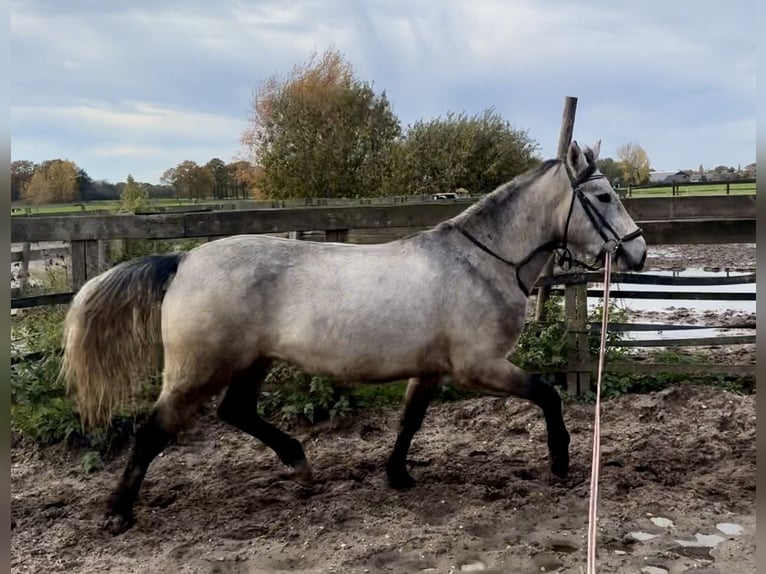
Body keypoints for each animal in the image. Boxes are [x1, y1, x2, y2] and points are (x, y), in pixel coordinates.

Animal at [59, 140, 647, 535]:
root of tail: (182, 260)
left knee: (237, 412)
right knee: (154, 430)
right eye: (602, 195)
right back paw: (117, 512)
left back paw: (300, 465)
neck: (480, 263)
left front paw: (397, 475)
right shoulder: (480, 367)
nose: (638, 252)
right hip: (198, 370)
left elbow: (409, 421)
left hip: (253, 361)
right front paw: (561, 461)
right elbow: (547, 394)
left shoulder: (430, 370)